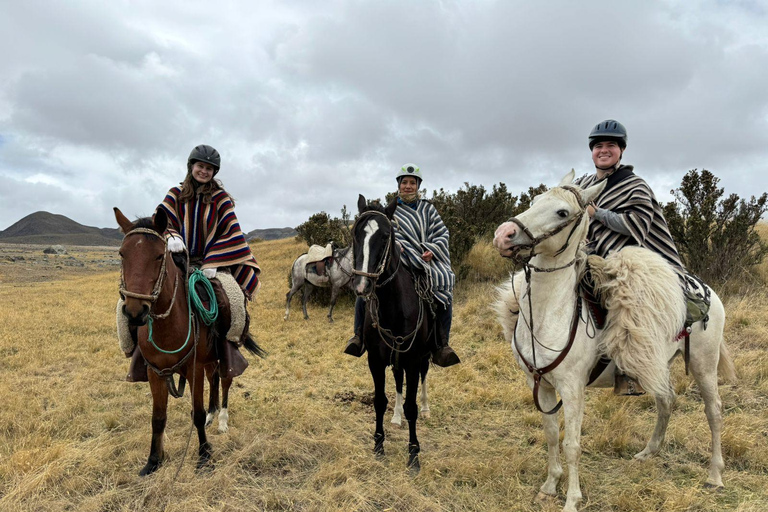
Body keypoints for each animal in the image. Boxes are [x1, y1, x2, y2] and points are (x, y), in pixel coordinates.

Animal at [113, 207, 264, 476]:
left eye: (159, 255)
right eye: (122, 254)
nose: (135, 312)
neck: (169, 325)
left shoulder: (193, 368)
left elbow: (196, 413)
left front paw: (204, 455)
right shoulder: (156, 372)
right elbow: (158, 418)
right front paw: (153, 460)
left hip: (224, 351)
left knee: (225, 379)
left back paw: (222, 420)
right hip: (207, 360)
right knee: (214, 378)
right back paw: (213, 415)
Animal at [352, 195, 432, 472]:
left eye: (386, 236)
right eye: (354, 233)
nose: (362, 285)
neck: (393, 306)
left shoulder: (413, 359)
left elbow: (412, 406)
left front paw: (414, 454)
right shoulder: (375, 360)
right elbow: (379, 400)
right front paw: (378, 445)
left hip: (422, 357)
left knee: (423, 378)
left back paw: (427, 408)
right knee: (398, 381)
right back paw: (396, 417)